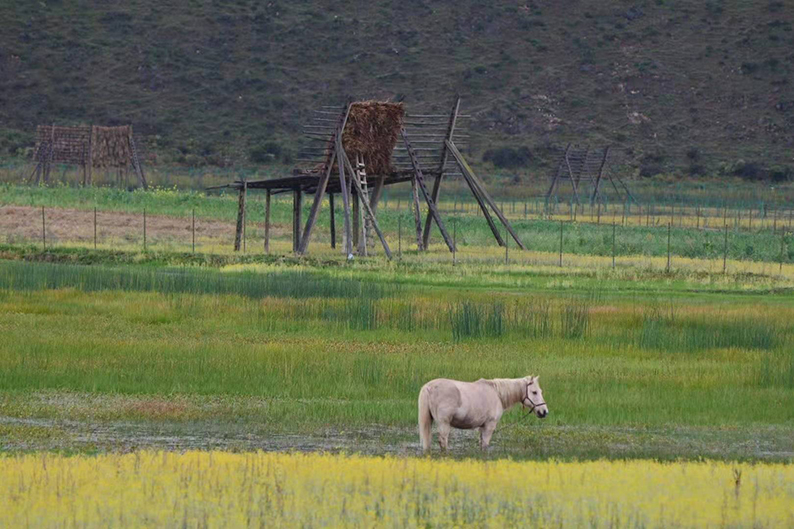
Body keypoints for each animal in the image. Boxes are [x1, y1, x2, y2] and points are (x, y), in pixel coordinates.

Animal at [418, 374, 548, 452]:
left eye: (540, 391)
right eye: (534, 392)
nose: (544, 412)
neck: (497, 394)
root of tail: (429, 387)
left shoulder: (482, 427)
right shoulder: (489, 426)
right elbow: (485, 445)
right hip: (444, 424)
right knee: (443, 442)